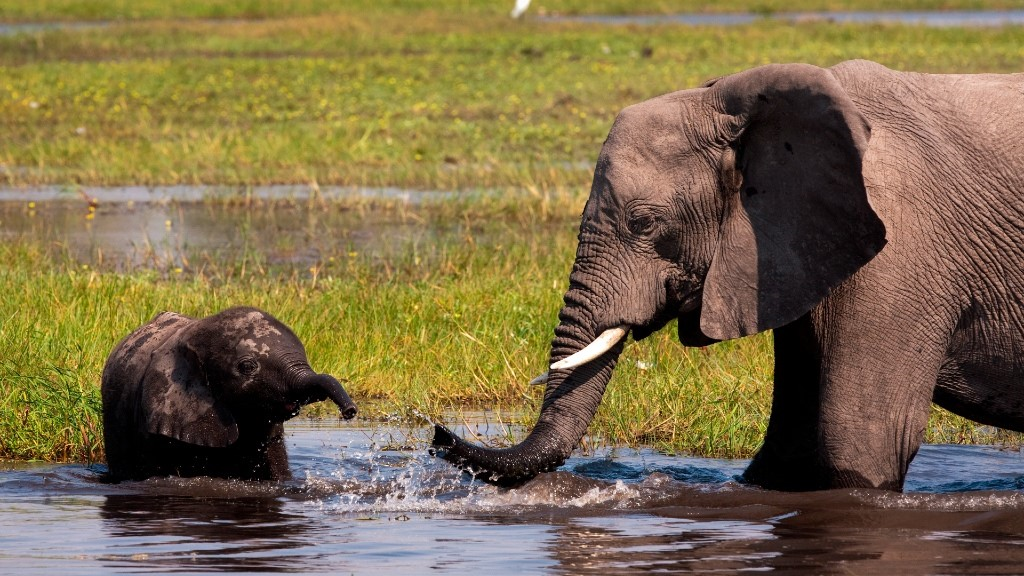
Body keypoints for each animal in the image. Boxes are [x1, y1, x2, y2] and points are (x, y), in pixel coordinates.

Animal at [436, 59, 1024, 487]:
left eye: (643, 223)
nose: (439, 434)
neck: (738, 105)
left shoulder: (902, 248)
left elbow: (860, 445)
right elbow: (788, 448)